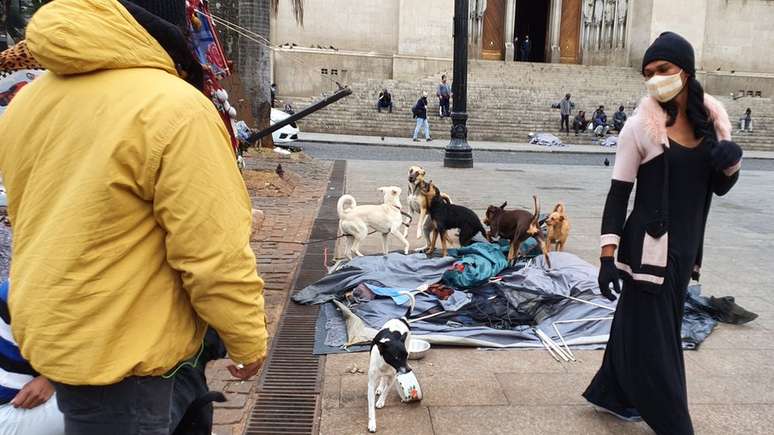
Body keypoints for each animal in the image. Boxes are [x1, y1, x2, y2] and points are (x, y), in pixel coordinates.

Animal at [366, 292, 416, 432]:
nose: (409, 370)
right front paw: (372, 423)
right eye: (396, 357)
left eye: (405, 356)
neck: (386, 364)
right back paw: (379, 387)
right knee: (382, 379)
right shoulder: (371, 383)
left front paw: (381, 401)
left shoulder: (393, 377)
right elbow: (371, 407)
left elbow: (387, 391)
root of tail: (402, 318)